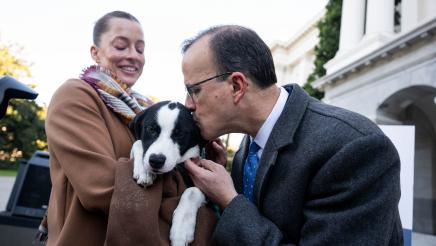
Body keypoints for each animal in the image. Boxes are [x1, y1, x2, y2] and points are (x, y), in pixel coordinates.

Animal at [129, 100, 208, 246]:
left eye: (180, 134)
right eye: (151, 129)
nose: (156, 161)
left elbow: (192, 191)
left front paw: (181, 230)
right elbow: (138, 142)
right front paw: (144, 170)